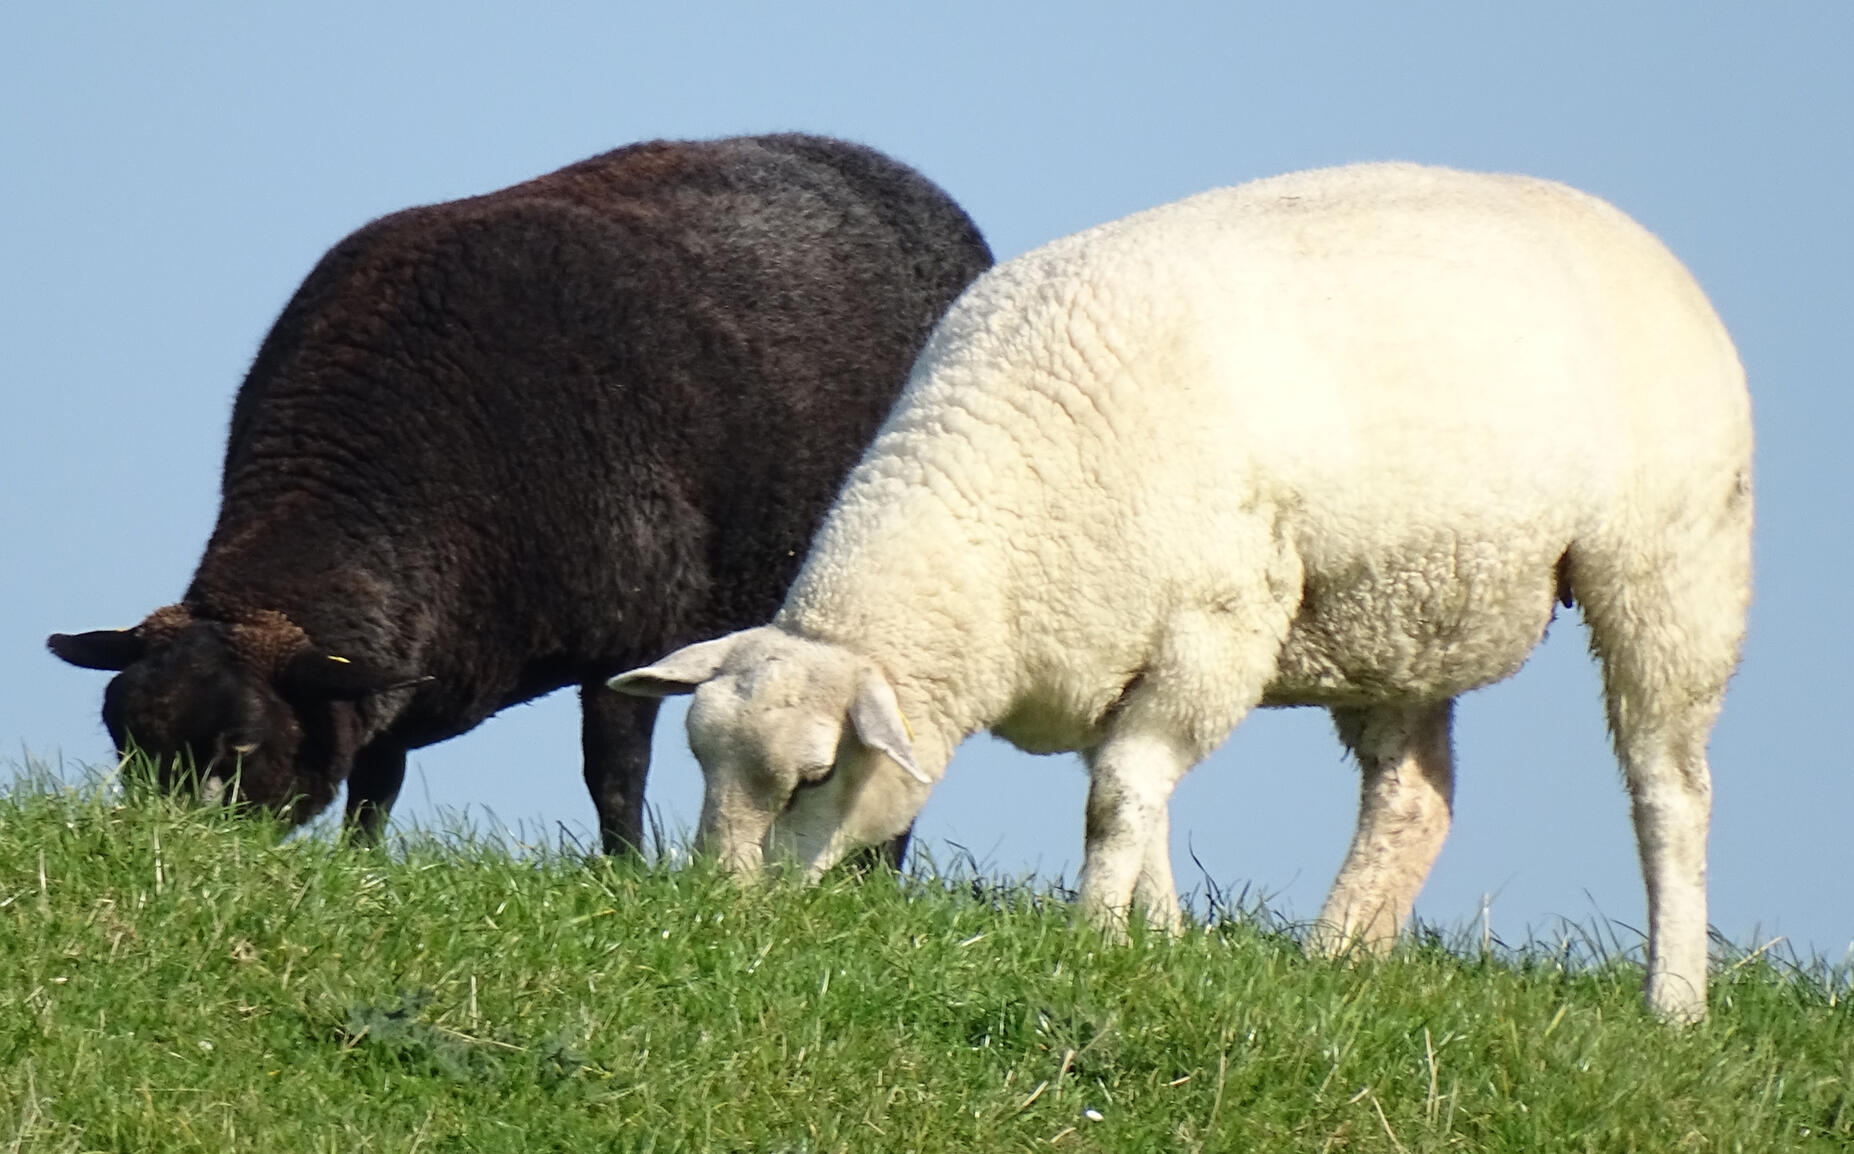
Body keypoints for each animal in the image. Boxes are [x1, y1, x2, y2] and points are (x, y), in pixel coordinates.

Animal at [47, 133, 992, 854]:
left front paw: (625, 875)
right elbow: (377, 775)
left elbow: (613, 776)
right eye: (124, 738)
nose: (166, 855)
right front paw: (359, 861)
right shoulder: (408, 667)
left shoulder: (632, 632)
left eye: (241, 745)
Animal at [611, 162, 1753, 1022]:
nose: (723, 911)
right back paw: (1338, 960)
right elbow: (1133, 797)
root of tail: (1639, 238)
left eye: (813, 776)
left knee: (1670, 788)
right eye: (698, 758)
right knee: (1414, 796)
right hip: (1403, 611)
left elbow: (1119, 795)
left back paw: (1674, 1001)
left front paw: (1095, 935)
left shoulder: (1216, 627)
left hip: (1674, 566)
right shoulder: (1108, 650)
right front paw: (1154, 940)